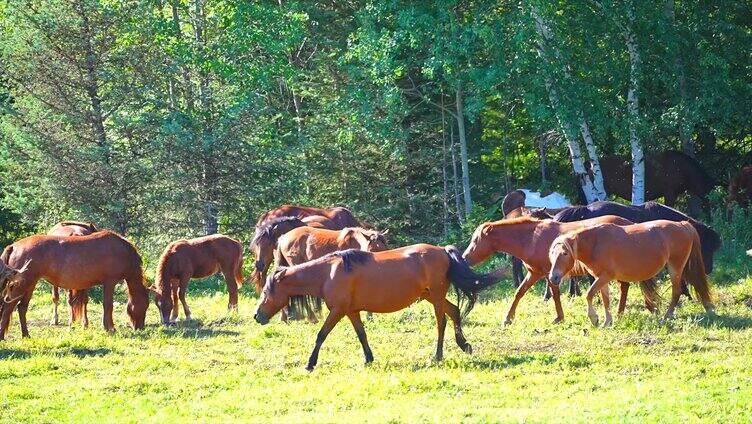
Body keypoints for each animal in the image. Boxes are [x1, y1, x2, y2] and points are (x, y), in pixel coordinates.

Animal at [0, 229, 150, 338]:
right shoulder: (110, 283)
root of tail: (13, 246)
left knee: (22, 308)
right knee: (8, 307)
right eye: (146, 305)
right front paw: (110, 328)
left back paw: (26, 335)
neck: (122, 251)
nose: (140, 327)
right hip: (22, 285)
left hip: (30, 285)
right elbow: (108, 306)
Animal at [253, 245, 506, 372]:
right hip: (430, 295)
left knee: (441, 322)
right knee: (453, 312)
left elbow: (321, 335)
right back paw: (464, 345)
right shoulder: (351, 311)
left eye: (266, 292)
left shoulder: (338, 311)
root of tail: (443, 251)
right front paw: (368, 358)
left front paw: (310, 363)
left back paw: (437, 356)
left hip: (435, 295)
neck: (329, 273)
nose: (257, 316)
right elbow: (362, 335)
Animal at [462, 215, 660, 324]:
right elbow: (519, 293)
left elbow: (555, 294)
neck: (532, 238)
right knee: (624, 287)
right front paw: (508, 319)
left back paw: (619, 313)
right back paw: (619, 313)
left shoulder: (549, 274)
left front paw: (559, 317)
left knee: (624, 287)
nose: (464, 258)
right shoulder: (535, 273)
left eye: (476, 240)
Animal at [548, 220, 712, 326]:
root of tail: (683, 224)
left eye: (565, 253)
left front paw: (594, 318)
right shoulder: (601, 278)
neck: (596, 243)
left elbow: (589, 294)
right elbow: (605, 299)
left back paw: (667, 317)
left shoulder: (605, 276)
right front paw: (607, 322)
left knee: (676, 292)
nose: (553, 277)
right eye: (552, 253)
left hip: (675, 268)